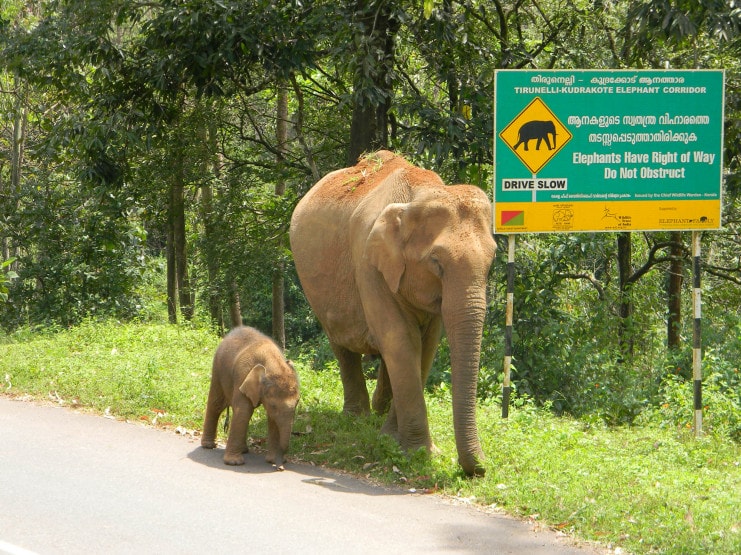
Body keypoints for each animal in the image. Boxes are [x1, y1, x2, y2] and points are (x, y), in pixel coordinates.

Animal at [201, 326, 300, 470]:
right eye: (273, 405)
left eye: (297, 402)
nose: (280, 467)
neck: (272, 362)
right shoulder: (243, 375)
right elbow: (243, 411)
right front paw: (234, 463)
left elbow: (272, 420)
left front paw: (272, 460)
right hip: (217, 368)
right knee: (216, 404)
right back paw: (208, 446)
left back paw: (243, 450)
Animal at [289, 150, 496, 476]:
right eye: (436, 262)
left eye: (492, 261)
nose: (482, 467)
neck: (417, 195)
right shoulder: (368, 263)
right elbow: (401, 340)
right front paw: (417, 452)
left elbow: (425, 347)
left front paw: (395, 440)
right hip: (314, 286)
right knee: (341, 343)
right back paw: (358, 418)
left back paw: (379, 416)